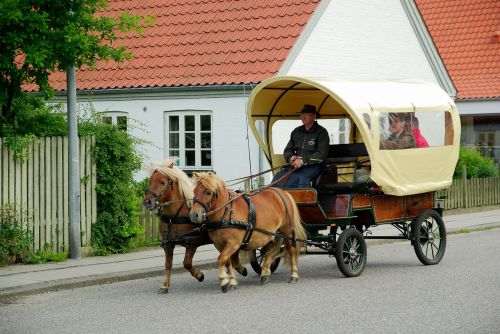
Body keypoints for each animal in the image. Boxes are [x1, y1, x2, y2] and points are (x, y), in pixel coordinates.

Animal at [142, 159, 245, 292]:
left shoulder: (192, 243)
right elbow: (168, 264)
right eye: (150, 181)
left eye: (162, 182)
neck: (174, 217)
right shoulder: (168, 244)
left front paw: (199, 275)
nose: (147, 202)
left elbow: (186, 263)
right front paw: (164, 285)